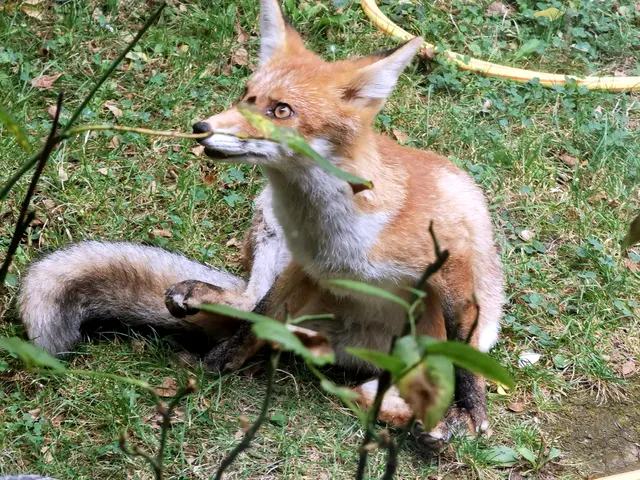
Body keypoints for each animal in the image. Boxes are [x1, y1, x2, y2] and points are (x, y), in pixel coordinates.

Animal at [17, 0, 504, 450]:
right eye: (245, 95)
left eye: (282, 110)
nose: (200, 127)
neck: (342, 240)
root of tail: (348, 341)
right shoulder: (307, 268)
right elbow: (259, 317)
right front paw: (217, 364)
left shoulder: (451, 268)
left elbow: (462, 354)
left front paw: (470, 413)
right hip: (270, 229)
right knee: (252, 302)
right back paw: (200, 295)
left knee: (371, 390)